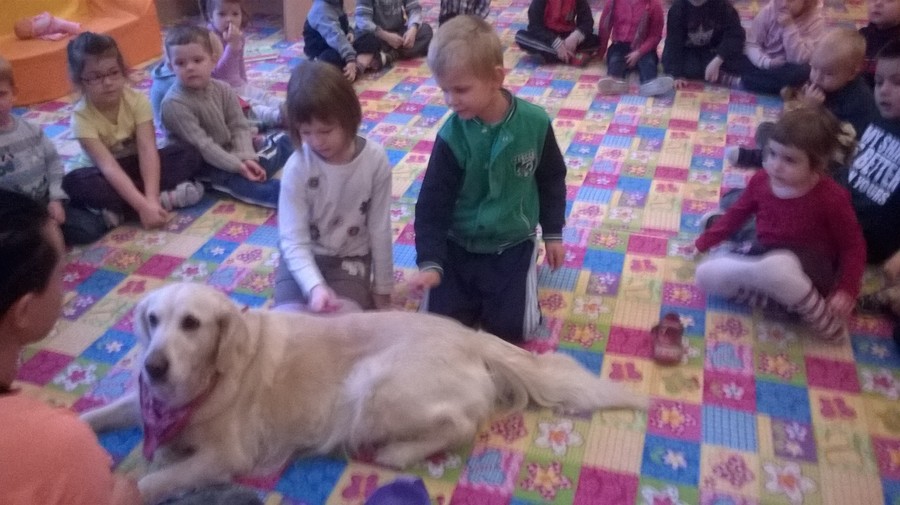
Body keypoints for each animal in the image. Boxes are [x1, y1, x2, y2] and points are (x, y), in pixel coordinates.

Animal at [82, 282, 648, 504]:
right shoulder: (143, 402)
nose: (153, 366)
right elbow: (101, 413)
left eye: (192, 324)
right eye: (153, 320)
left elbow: (151, 481)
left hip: (371, 386)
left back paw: (398, 453)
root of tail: (470, 335)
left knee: (461, 423)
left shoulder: (227, 456)